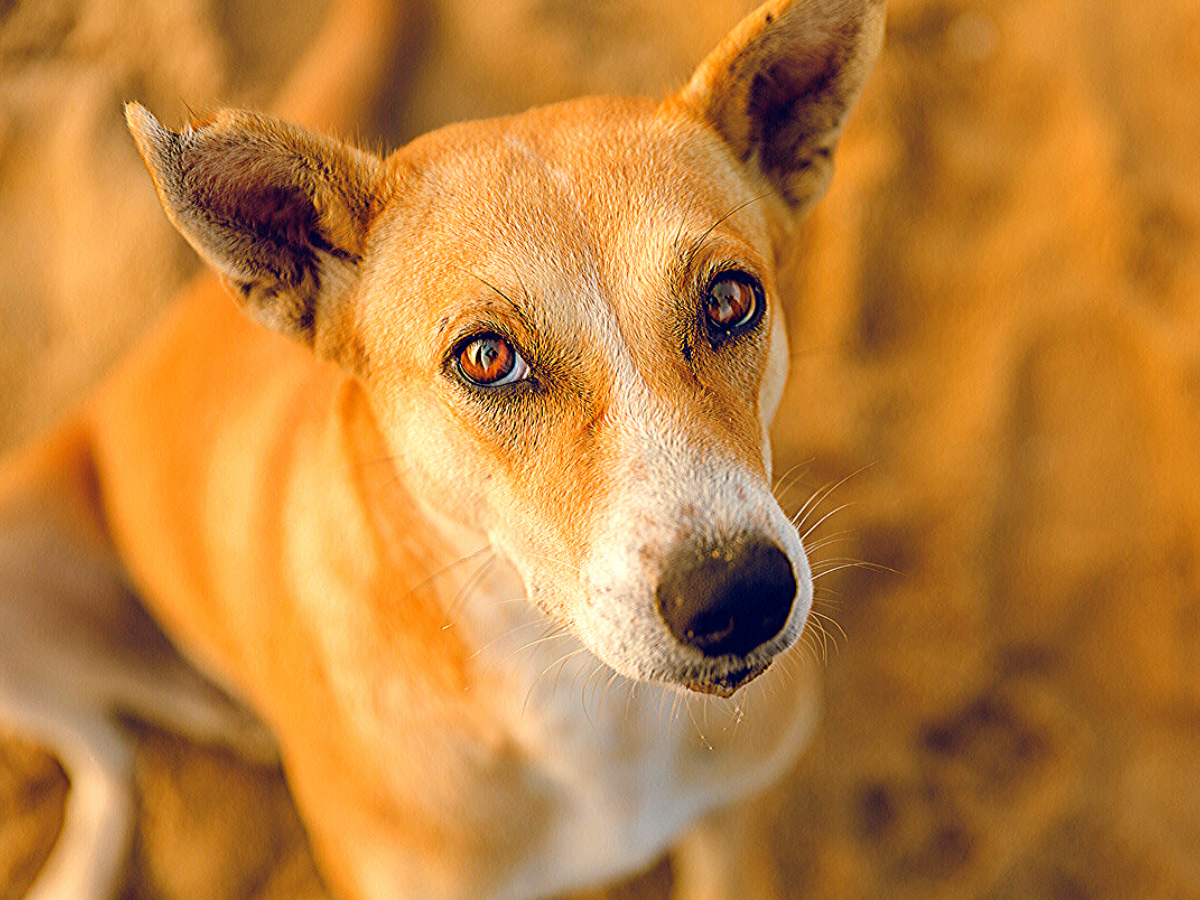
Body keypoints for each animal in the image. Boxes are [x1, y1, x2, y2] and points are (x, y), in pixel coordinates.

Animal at [0, 1, 883, 900]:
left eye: (732, 299)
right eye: (487, 357)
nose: (739, 593)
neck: (575, 693)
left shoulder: (730, 823)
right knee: (107, 761)